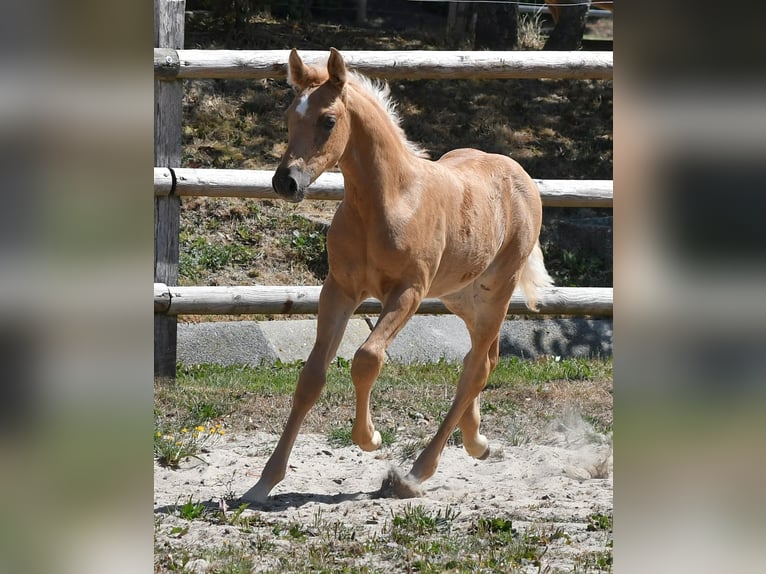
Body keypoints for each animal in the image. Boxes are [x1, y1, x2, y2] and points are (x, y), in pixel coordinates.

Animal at [242, 48, 553, 502]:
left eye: (328, 120)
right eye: (288, 117)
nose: (286, 182)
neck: (387, 201)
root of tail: (520, 175)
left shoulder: (408, 292)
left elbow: (367, 358)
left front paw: (370, 438)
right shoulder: (339, 289)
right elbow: (311, 377)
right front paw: (264, 481)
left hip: (497, 290)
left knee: (475, 368)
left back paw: (417, 472)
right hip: (462, 296)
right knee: (485, 358)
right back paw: (476, 441)